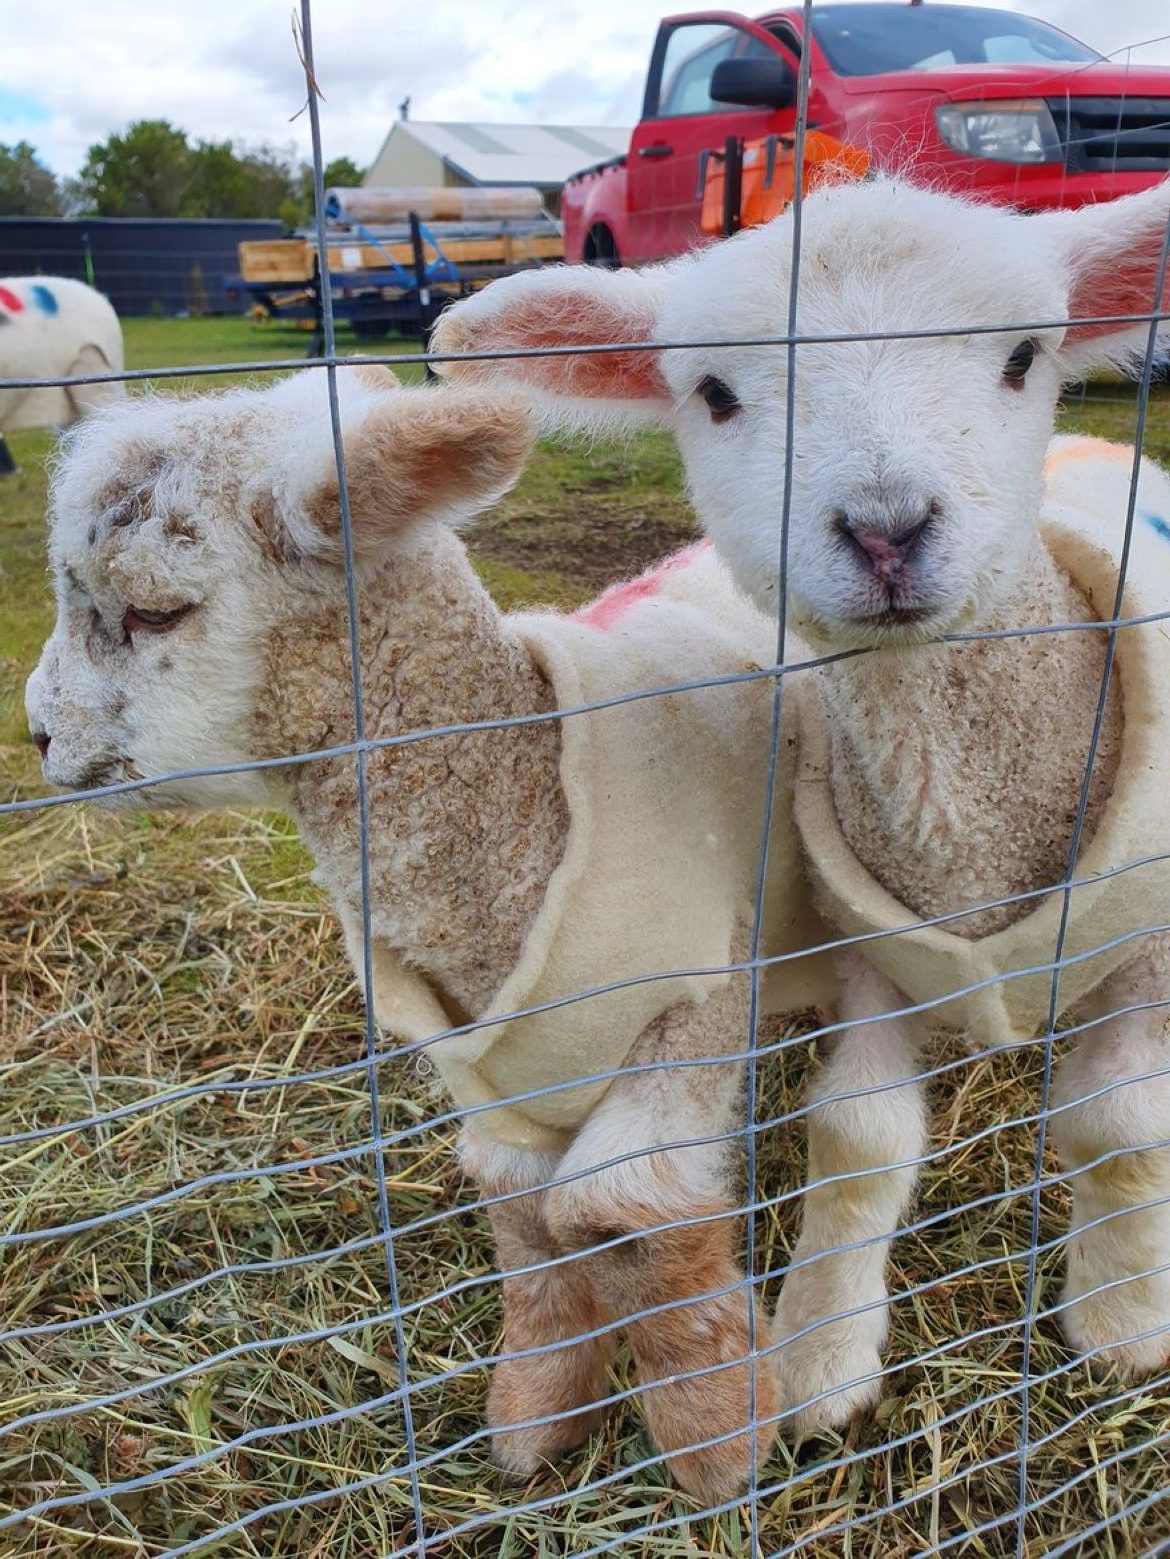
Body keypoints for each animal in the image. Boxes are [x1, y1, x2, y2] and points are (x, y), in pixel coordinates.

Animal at [24, 364, 832, 1496]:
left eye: (153, 612)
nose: (38, 734)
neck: (526, 800)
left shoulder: (699, 995)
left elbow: (622, 1210)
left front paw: (716, 1439)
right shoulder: (489, 1064)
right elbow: (526, 1220)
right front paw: (538, 1414)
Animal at [430, 175, 1170, 1431]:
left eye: (1025, 354)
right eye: (717, 394)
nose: (885, 530)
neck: (973, 829)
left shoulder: (1152, 941)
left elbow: (1119, 1125)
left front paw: (1120, 1320)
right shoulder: (865, 936)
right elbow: (858, 1133)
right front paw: (822, 1358)